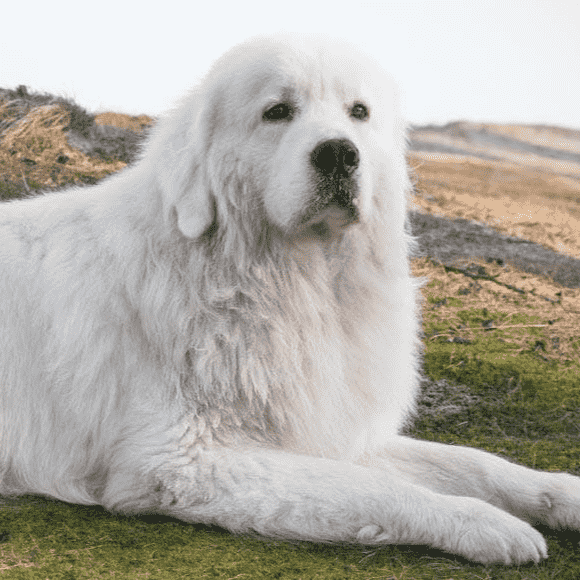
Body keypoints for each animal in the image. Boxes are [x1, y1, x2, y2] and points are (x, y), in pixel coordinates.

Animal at [1, 34, 580, 564]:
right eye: (277, 112)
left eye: (359, 112)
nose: (339, 153)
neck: (286, 284)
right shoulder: (181, 460)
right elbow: (376, 489)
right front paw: (482, 523)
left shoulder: (321, 429)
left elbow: (473, 462)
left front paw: (560, 492)